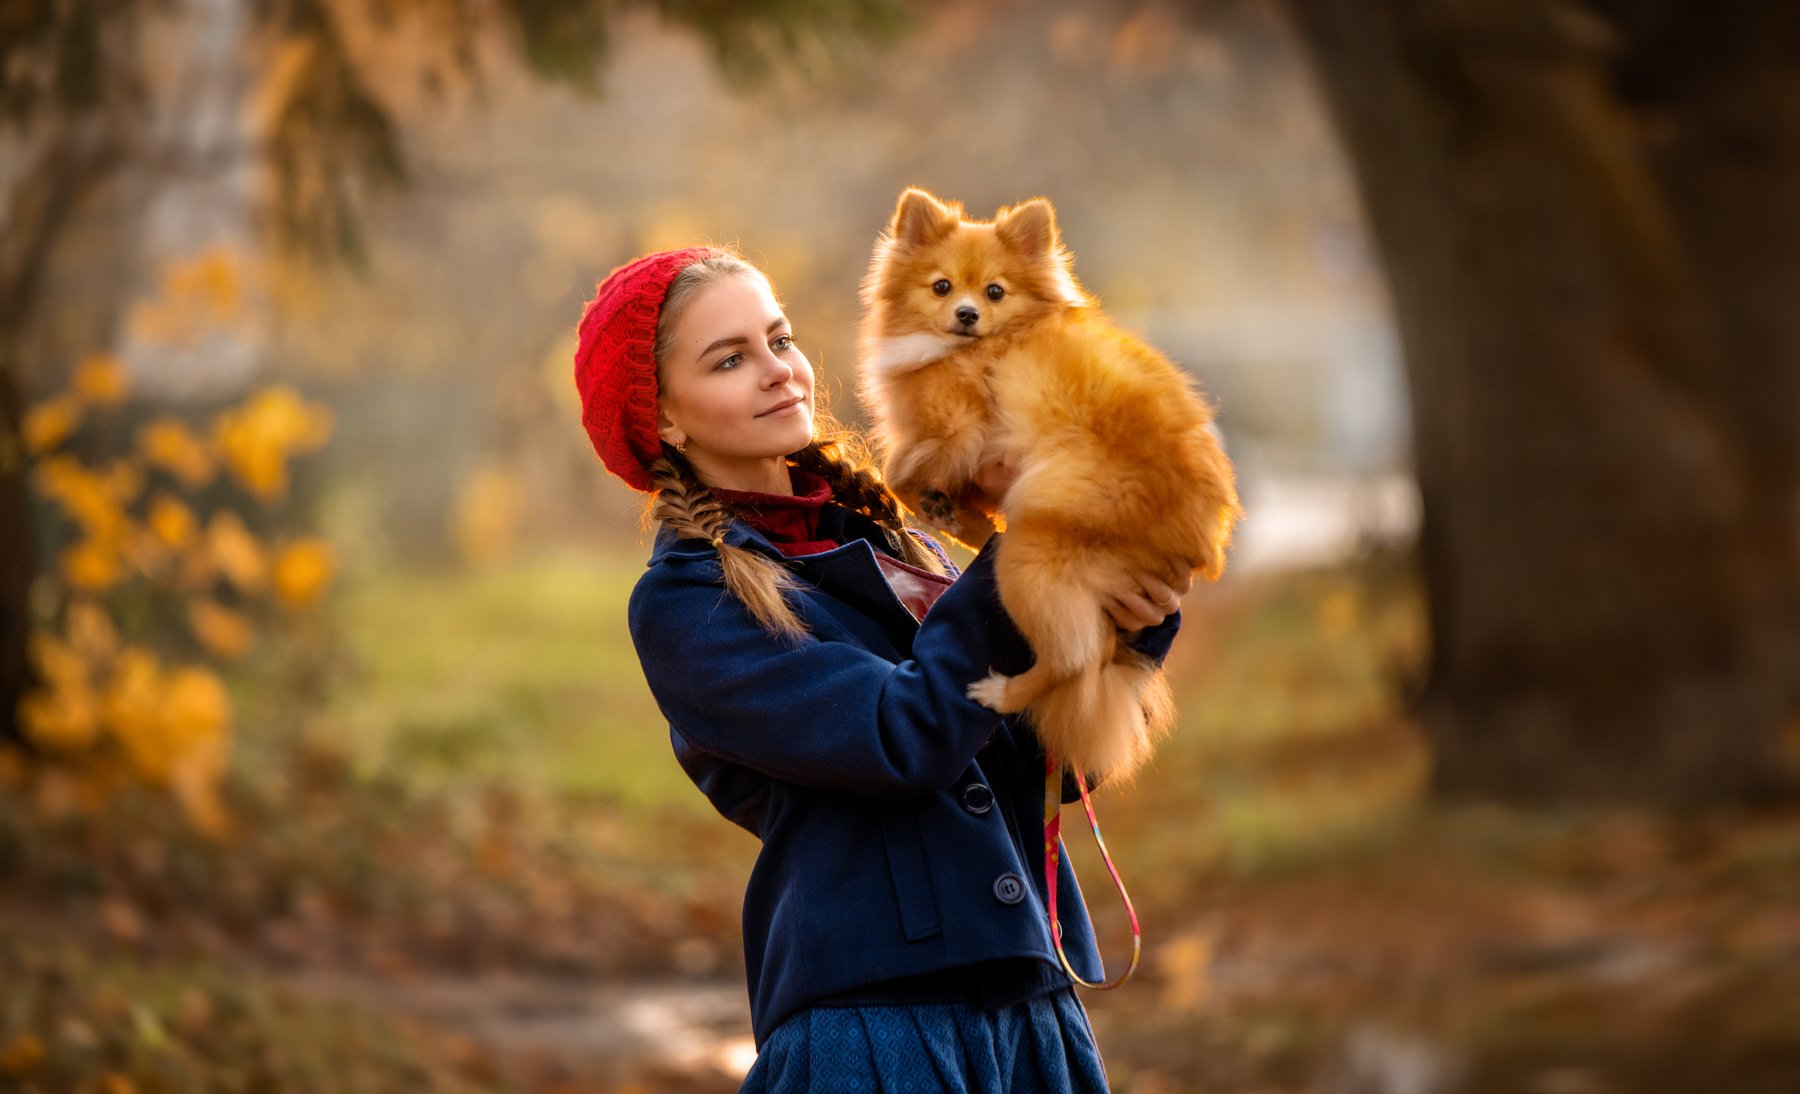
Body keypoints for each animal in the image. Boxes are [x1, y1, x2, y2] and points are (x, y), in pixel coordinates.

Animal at [856, 189, 1238, 784]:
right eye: (942, 286)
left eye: (995, 292)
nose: (967, 314)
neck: (969, 347)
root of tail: (1203, 545)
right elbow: (922, 483)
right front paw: (961, 519)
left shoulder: (958, 427)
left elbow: (896, 473)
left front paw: (945, 509)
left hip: (1030, 557)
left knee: (1071, 660)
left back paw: (1001, 693)